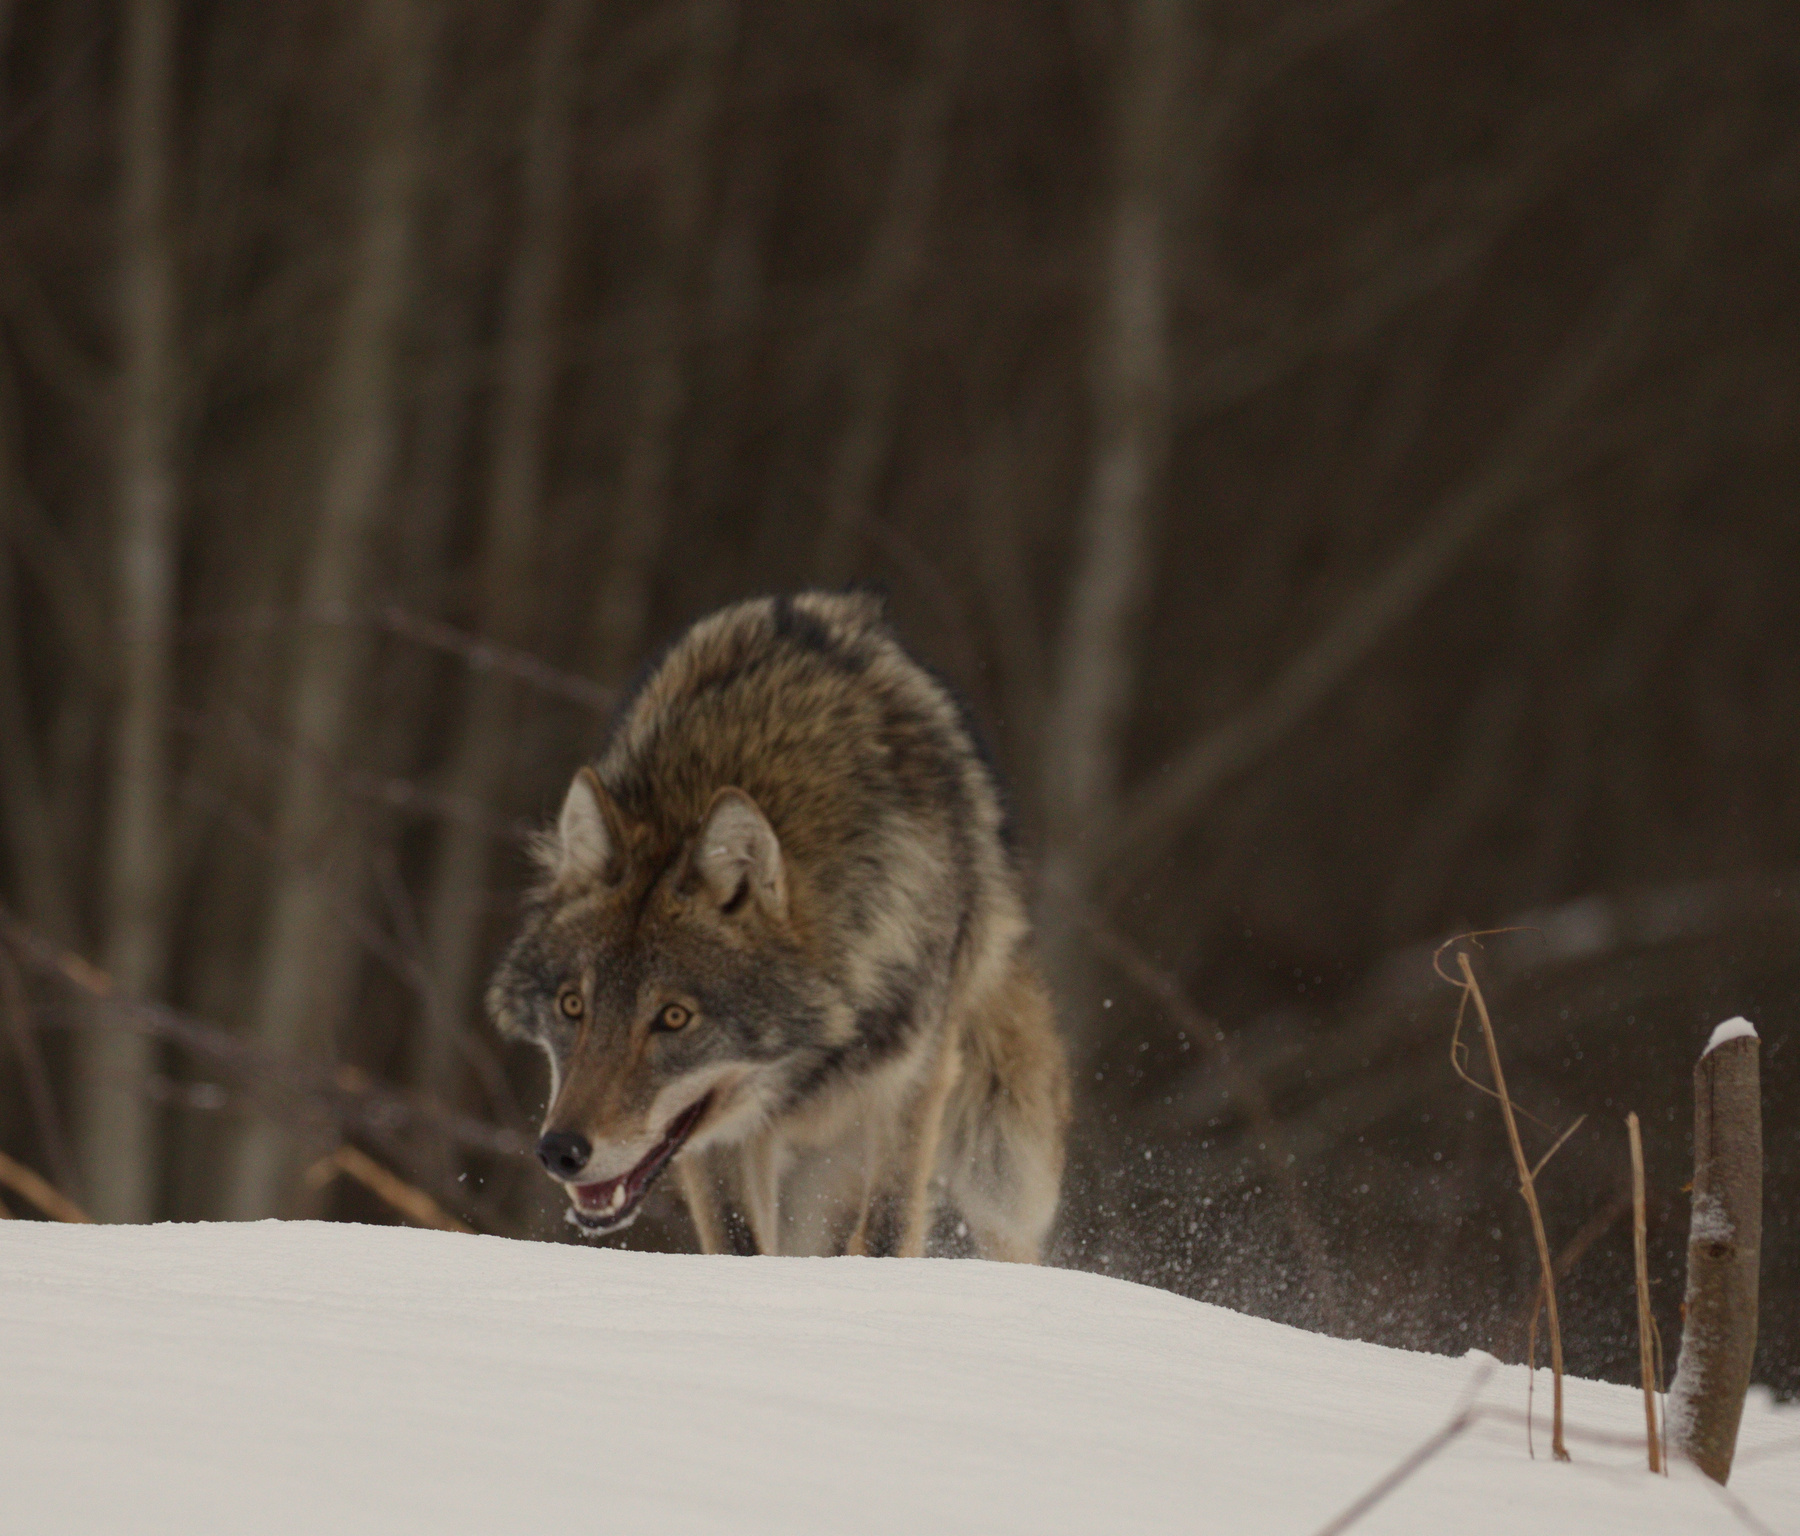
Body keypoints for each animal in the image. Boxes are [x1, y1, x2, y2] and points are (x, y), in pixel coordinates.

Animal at [487, 591, 1069, 1259]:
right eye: (572, 1006)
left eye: (674, 1018)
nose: (560, 1151)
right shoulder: (709, 1140)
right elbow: (739, 1244)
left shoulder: (913, 1085)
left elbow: (887, 1231)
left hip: (1004, 1166)